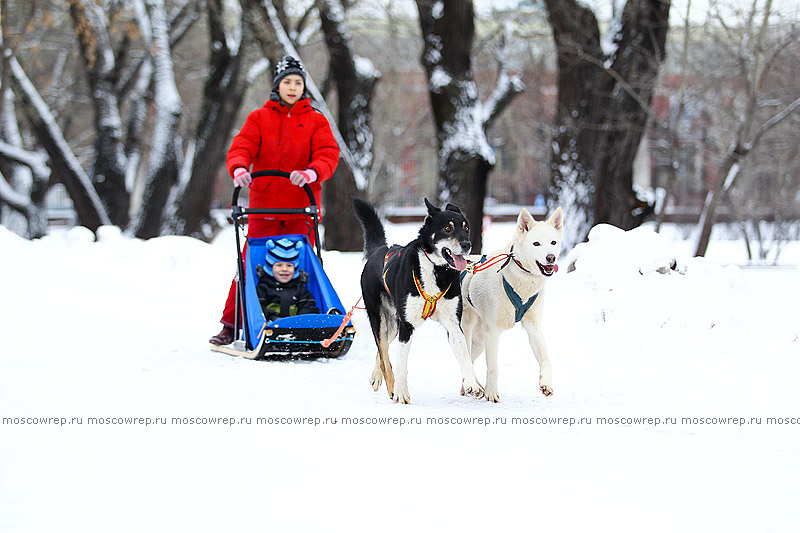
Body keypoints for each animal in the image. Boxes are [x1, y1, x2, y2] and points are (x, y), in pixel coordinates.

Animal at [354, 198, 482, 404]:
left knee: (383, 350)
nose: (466, 244)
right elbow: (400, 363)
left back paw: (376, 376)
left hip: (393, 325)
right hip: (380, 319)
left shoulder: (454, 324)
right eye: (447, 228)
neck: (436, 270)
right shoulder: (407, 326)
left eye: (466, 228)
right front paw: (400, 393)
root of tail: (379, 250)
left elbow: (465, 355)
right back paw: (391, 386)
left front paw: (473, 384)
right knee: (383, 351)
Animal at [460, 206, 564, 402]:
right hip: (467, 330)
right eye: (536, 244)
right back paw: (474, 387)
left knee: (470, 359)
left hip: (479, 340)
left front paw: (546, 383)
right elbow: (493, 367)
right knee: (465, 358)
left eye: (553, 242)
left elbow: (546, 360)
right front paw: (491, 392)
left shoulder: (533, 328)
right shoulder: (493, 332)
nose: (551, 257)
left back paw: (470, 387)